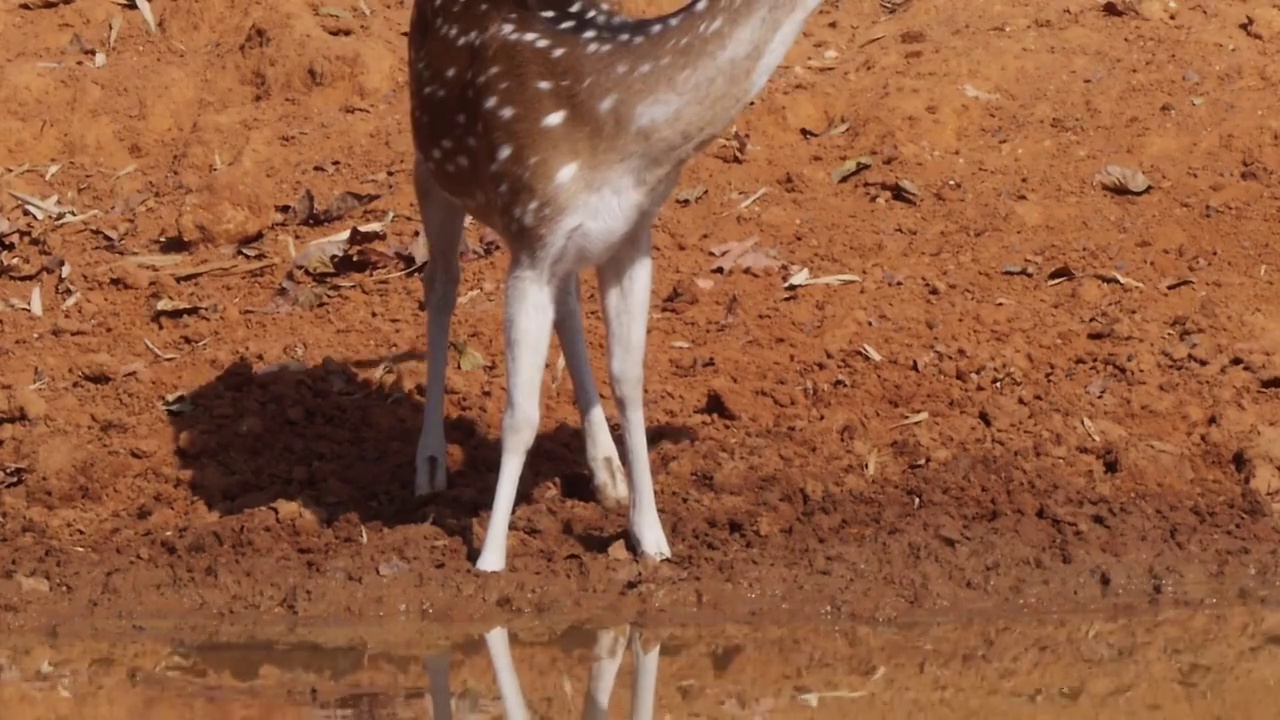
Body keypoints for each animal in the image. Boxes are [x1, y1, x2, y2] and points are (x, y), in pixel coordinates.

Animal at [414, 1, 824, 571]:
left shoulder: (631, 238)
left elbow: (630, 378)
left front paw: (651, 537)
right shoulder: (532, 236)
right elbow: (520, 416)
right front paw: (491, 560)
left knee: (565, 300)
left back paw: (607, 470)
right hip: (431, 165)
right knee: (441, 285)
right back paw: (429, 463)